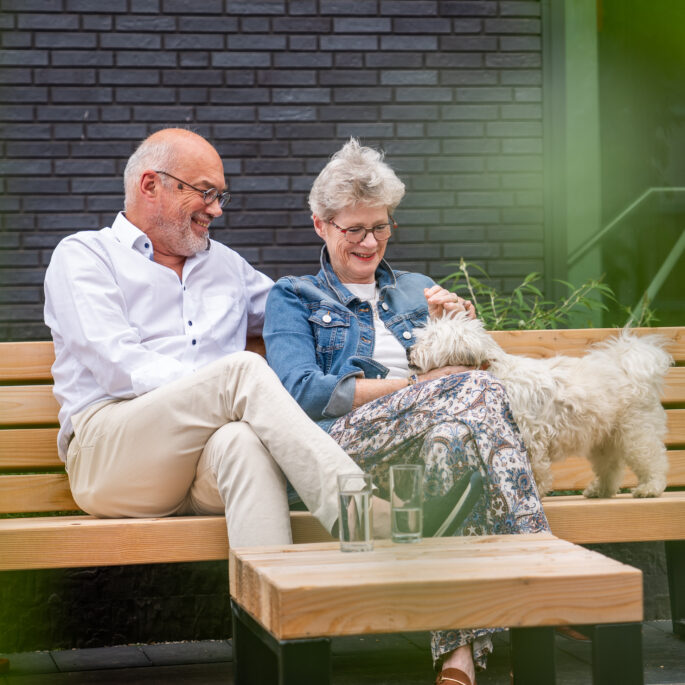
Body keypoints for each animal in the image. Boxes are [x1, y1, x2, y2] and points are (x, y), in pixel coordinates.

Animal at [408, 312, 672, 496]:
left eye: (431, 341)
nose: (410, 350)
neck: (496, 373)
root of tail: (627, 365)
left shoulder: (529, 436)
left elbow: (536, 468)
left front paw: (538, 490)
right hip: (605, 439)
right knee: (611, 468)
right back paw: (601, 491)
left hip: (636, 432)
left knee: (653, 460)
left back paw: (650, 489)